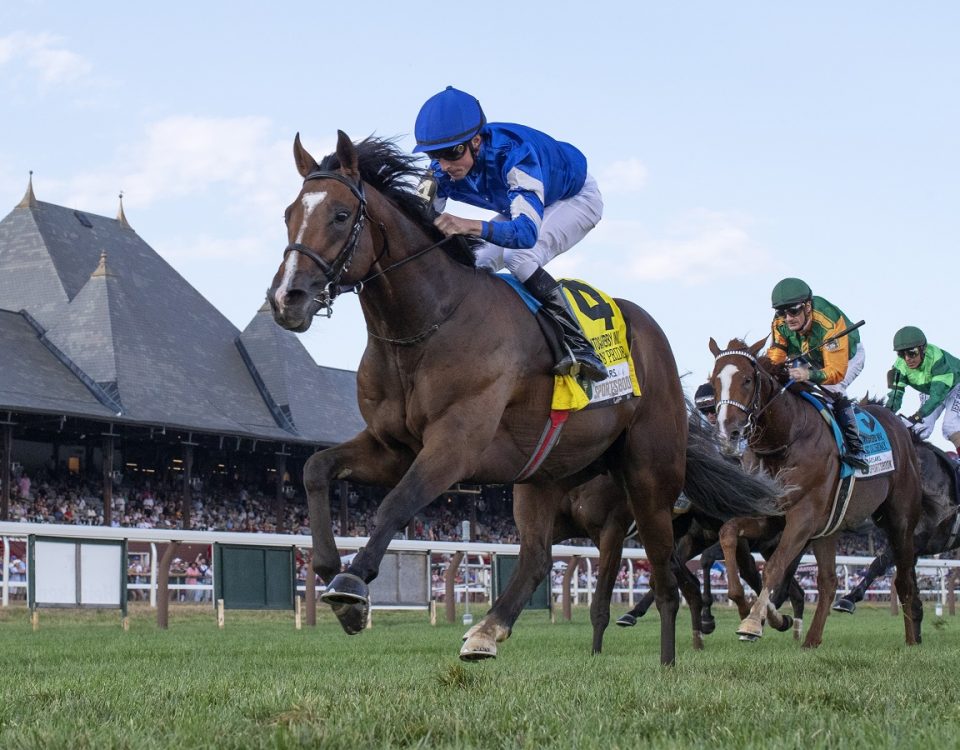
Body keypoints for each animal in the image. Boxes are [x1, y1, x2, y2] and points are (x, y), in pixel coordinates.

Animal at [266, 132, 776, 668]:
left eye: (341, 215)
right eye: (289, 213)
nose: (286, 298)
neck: (426, 324)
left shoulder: (456, 446)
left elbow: (396, 504)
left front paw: (351, 583)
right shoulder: (394, 447)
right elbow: (315, 468)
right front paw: (328, 567)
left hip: (649, 476)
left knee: (664, 576)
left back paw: (669, 663)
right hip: (543, 474)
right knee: (536, 558)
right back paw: (485, 631)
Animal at [712, 338, 924, 648]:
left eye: (747, 380)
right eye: (714, 382)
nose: (729, 433)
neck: (786, 438)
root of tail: (900, 426)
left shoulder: (803, 517)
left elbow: (774, 566)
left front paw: (752, 623)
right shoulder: (771, 516)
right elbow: (727, 532)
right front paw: (758, 611)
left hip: (900, 520)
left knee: (903, 579)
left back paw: (911, 640)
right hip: (829, 528)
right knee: (829, 581)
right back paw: (811, 640)